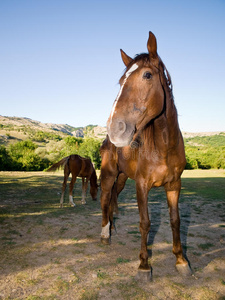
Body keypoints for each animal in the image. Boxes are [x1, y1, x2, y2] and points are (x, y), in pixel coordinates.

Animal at [100, 31, 190, 280]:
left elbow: (175, 220)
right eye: (121, 81)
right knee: (104, 200)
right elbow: (145, 223)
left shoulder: (174, 185)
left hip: (121, 179)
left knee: (113, 199)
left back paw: (112, 227)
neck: (163, 147)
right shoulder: (142, 185)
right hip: (108, 175)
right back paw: (104, 234)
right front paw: (144, 264)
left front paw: (181, 260)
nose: (115, 128)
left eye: (147, 75)